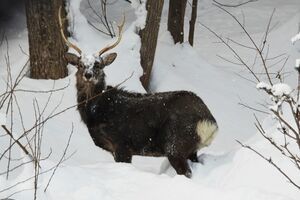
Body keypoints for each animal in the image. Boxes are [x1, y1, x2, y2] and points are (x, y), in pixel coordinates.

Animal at [58, 7, 218, 177]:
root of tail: (210, 122)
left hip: (175, 146)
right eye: (80, 65)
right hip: (191, 150)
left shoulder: (122, 145)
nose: (88, 75)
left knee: (186, 172)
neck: (97, 111)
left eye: (98, 65)